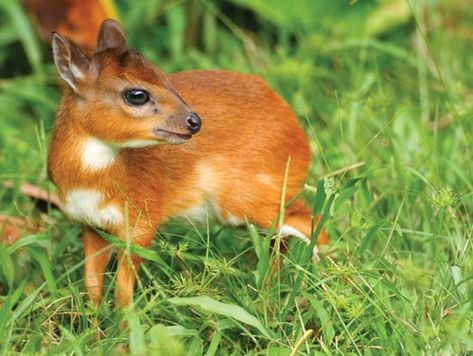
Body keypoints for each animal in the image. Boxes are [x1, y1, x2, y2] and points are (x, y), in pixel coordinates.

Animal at [49, 18, 326, 306]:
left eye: (163, 76)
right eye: (137, 94)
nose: (194, 121)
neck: (90, 181)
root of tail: (301, 142)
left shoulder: (142, 220)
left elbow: (123, 287)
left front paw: (125, 319)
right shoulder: (90, 223)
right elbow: (92, 283)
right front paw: (92, 319)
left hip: (246, 198)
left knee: (312, 223)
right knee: (284, 237)